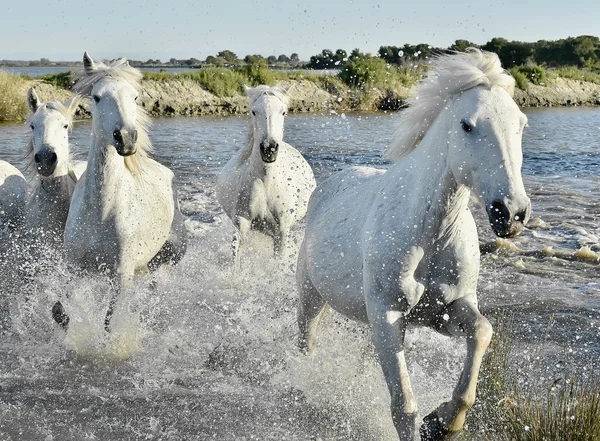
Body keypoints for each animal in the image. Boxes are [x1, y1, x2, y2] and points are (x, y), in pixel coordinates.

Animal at [62, 51, 186, 326]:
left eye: (135, 97)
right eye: (97, 97)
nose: (127, 138)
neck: (101, 211)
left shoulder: (121, 276)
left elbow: (109, 324)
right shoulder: (75, 269)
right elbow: (62, 313)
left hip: (173, 253)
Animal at [217, 84, 318, 260]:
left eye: (283, 112)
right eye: (254, 111)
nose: (269, 149)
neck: (266, 183)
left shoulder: (282, 233)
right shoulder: (241, 224)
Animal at [296, 49, 528, 440]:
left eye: (521, 124)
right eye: (467, 125)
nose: (510, 212)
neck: (429, 234)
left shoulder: (445, 310)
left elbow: (482, 332)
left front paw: (444, 422)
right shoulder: (388, 315)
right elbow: (404, 407)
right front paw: (432, 421)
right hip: (311, 297)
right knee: (305, 341)